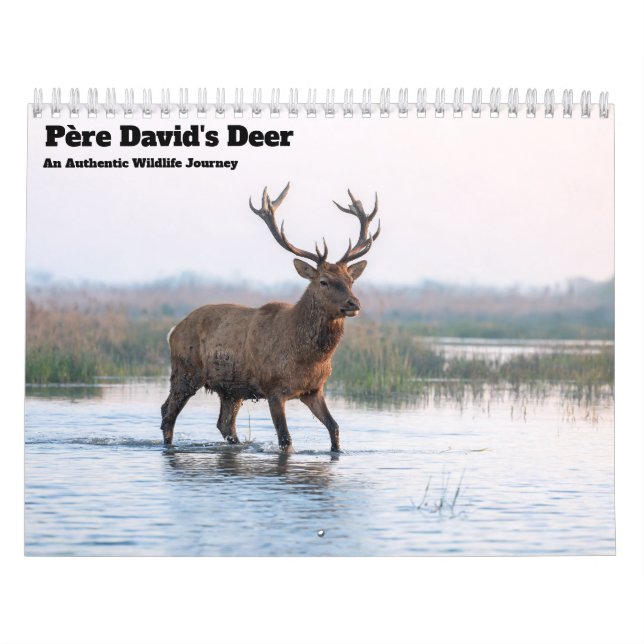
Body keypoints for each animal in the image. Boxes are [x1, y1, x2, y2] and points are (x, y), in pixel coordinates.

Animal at [160, 184, 381, 452]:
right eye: (323, 281)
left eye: (350, 280)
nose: (353, 303)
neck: (308, 358)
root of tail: (173, 330)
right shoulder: (274, 389)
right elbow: (285, 439)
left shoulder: (314, 390)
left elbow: (335, 428)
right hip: (185, 371)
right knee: (168, 414)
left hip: (230, 389)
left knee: (224, 424)